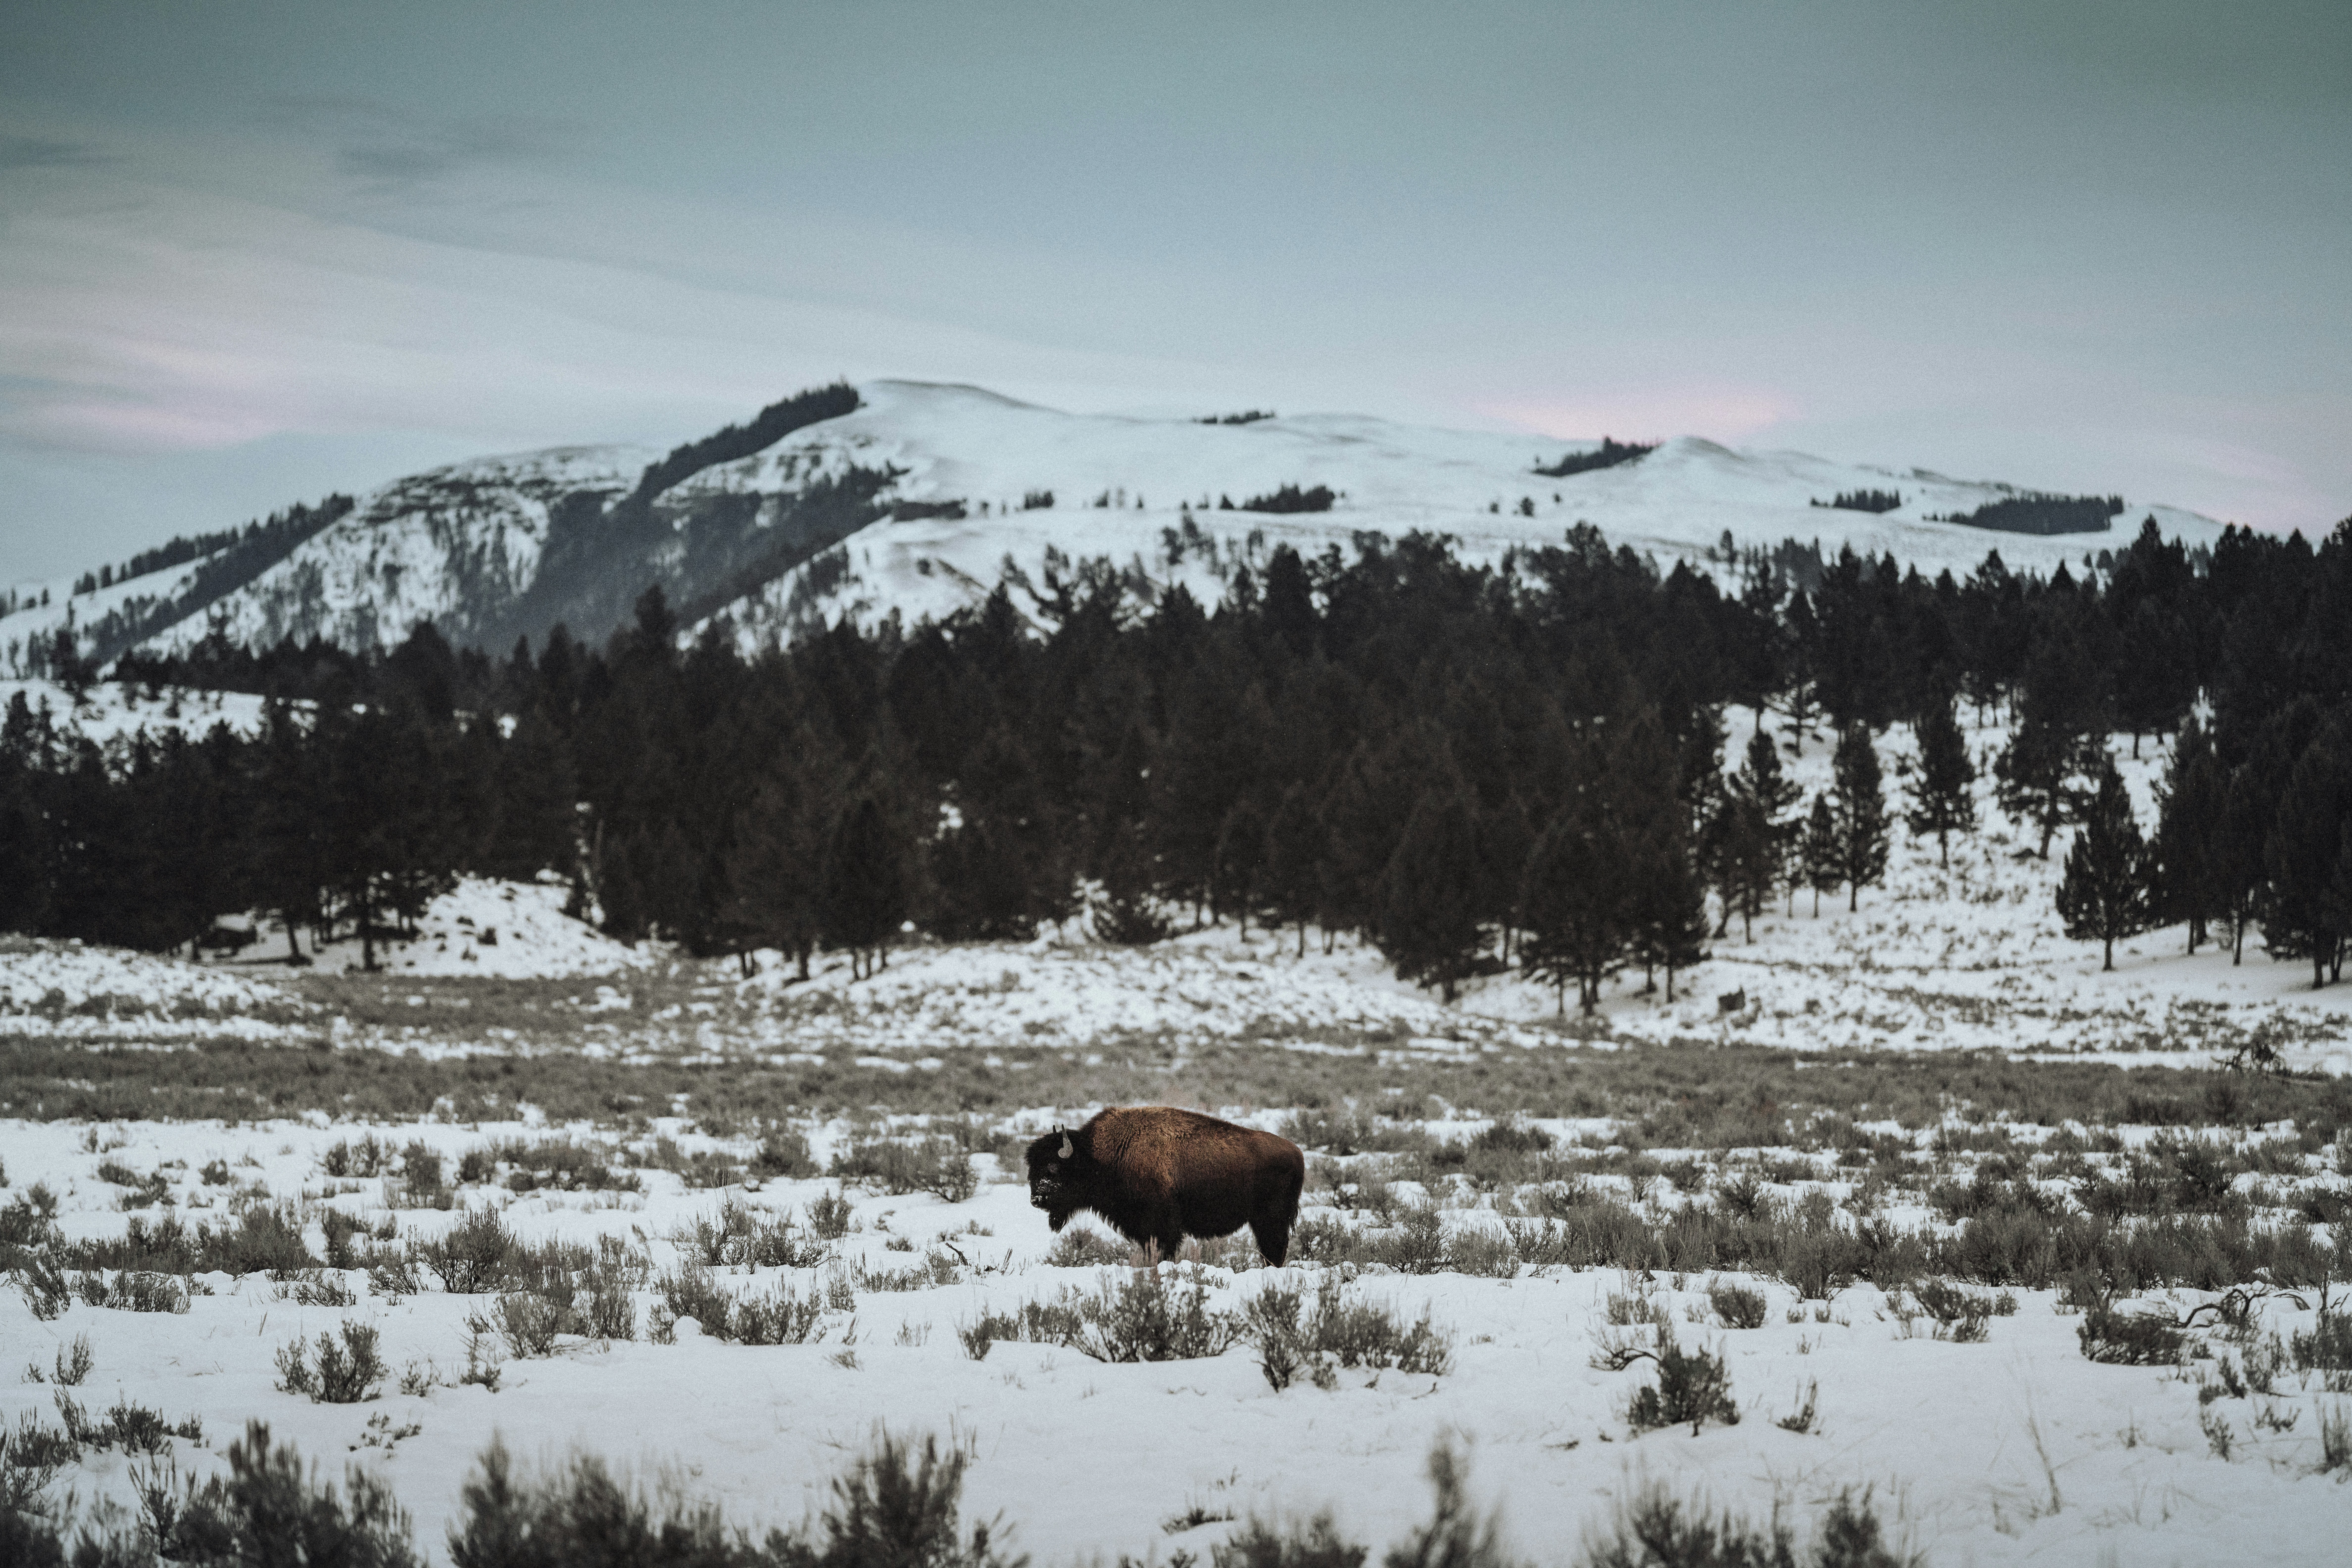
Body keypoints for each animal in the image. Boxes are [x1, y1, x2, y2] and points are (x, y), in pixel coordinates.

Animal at [1024, 1107, 1306, 1265]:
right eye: (1031, 1171)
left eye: (1053, 1169)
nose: (1037, 1200)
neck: (1100, 1156)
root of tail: (1297, 1153)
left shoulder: (1164, 1226)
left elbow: (1164, 1251)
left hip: (1270, 1219)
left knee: (1275, 1248)